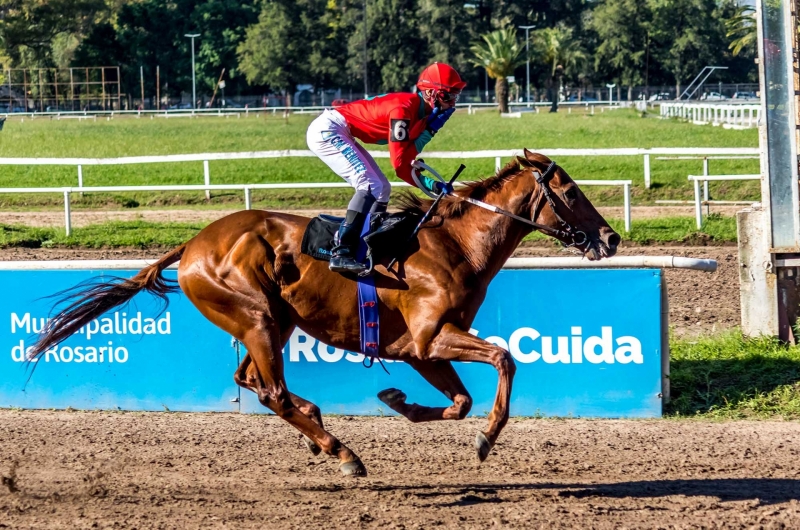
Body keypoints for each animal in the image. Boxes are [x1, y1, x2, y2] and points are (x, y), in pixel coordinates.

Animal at [29, 148, 620, 474]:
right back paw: (340, 450)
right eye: (571, 191)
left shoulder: (417, 349)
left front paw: (399, 401)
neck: (454, 244)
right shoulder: (430, 337)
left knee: (250, 379)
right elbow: (503, 361)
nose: (611, 238)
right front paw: (487, 438)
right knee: (270, 389)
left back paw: (317, 426)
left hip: (272, 320)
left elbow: (460, 401)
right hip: (256, 316)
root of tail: (193, 244)